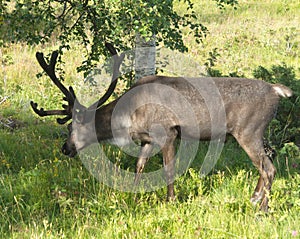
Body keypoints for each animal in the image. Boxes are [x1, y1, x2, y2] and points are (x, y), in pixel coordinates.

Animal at [31, 44, 292, 212]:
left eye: (72, 128)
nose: (65, 148)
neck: (128, 116)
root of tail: (276, 90)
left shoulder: (168, 132)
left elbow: (168, 169)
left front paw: (170, 201)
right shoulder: (147, 139)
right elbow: (139, 166)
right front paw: (133, 197)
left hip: (248, 131)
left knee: (268, 168)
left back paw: (262, 208)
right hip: (258, 133)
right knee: (270, 158)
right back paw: (255, 198)